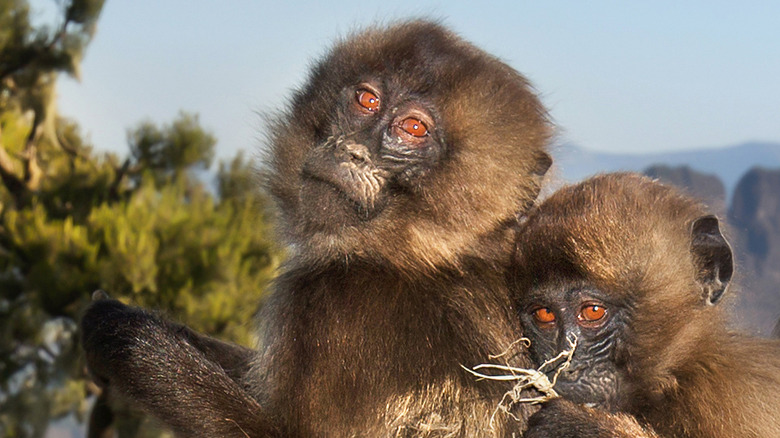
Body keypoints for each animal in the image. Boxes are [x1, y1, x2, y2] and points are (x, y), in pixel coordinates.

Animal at [82, 18, 572, 436]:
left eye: (413, 128)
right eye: (366, 101)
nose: (351, 150)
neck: (422, 257)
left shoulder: (333, 305)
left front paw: (126, 337)